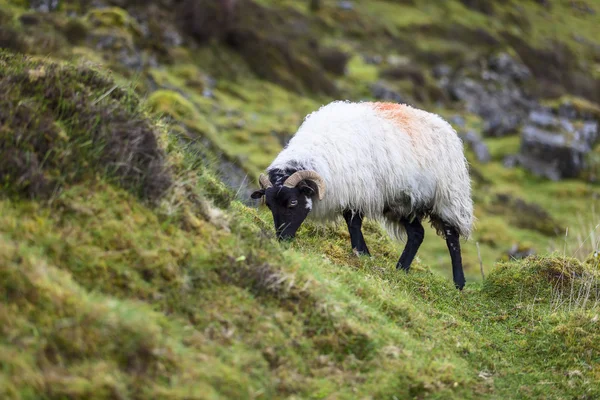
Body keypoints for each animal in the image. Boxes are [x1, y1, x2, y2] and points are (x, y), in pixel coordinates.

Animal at [250, 99, 474, 288]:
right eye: (269, 205)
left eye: (293, 203)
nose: (282, 239)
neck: (319, 154)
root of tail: (446, 127)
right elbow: (351, 223)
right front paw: (364, 253)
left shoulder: (358, 191)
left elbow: (353, 223)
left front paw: (361, 252)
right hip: (403, 202)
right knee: (417, 234)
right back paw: (401, 268)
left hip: (448, 198)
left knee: (452, 237)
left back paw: (459, 283)